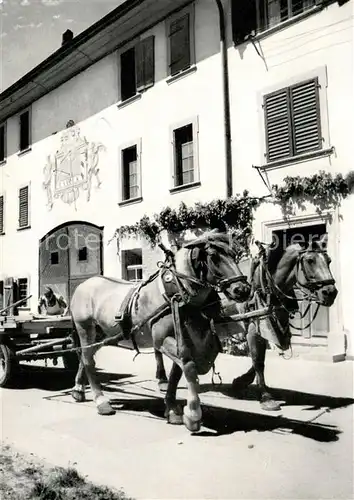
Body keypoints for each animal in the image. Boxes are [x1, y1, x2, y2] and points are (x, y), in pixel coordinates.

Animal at [70, 230, 252, 430]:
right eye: (213, 256)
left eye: (234, 254)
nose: (242, 289)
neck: (178, 291)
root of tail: (84, 284)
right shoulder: (162, 339)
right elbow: (189, 368)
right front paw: (193, 414)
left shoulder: (183, 340)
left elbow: (176, 374)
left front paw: (172, 409)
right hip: (85, 327)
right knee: (88, 360)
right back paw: (101, 401)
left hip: (102, 334)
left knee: (85, 356)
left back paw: (78, 389)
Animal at [232, 234, 338, 410]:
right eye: (310, 260)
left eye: (328, 260)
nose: (330, 292)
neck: (265, 283)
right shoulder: (255, 329)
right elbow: (258, 361)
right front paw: (265, 397)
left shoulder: (269, 327)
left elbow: (258, 360)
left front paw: (241, 381)